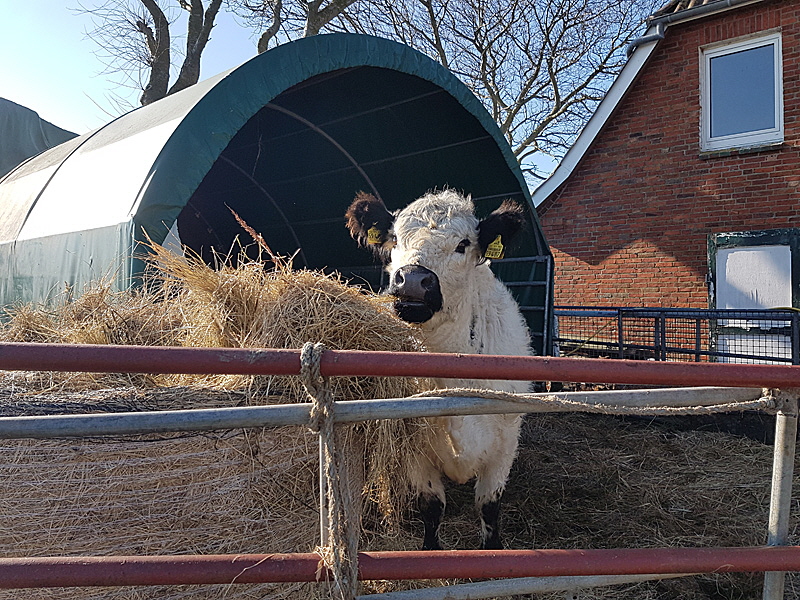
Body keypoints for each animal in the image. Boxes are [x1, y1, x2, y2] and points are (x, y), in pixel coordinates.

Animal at [344, 190, 532, 552]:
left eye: (463, 243)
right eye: (395, 239)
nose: (413, 280)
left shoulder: (504, 447)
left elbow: (489, 506)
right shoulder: (416, 453)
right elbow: (431, 506)